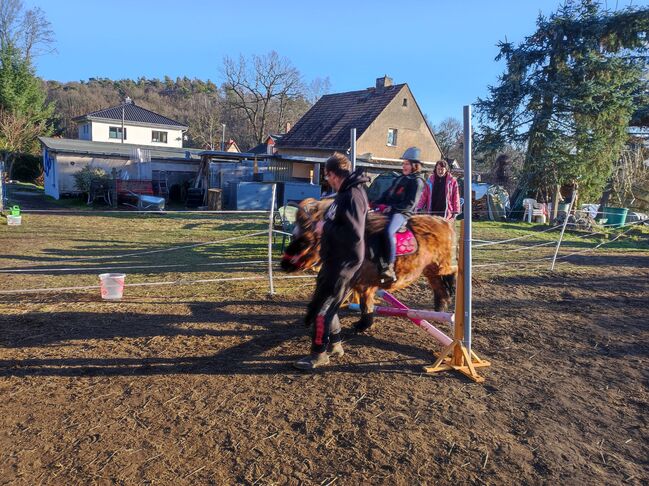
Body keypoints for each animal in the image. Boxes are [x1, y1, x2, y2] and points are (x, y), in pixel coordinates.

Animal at [280, 197, 456, 330]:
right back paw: (440, 309)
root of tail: (444, 222)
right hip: (430, 270)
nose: (284, 264)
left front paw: (361, 325)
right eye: (293, 234)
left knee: (453, 271)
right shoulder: (360, 284)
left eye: (305, 241)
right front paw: (363, 324)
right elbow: (364, 305)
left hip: (441, 265)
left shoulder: (361, 283)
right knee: (439, 288)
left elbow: (362, 305)